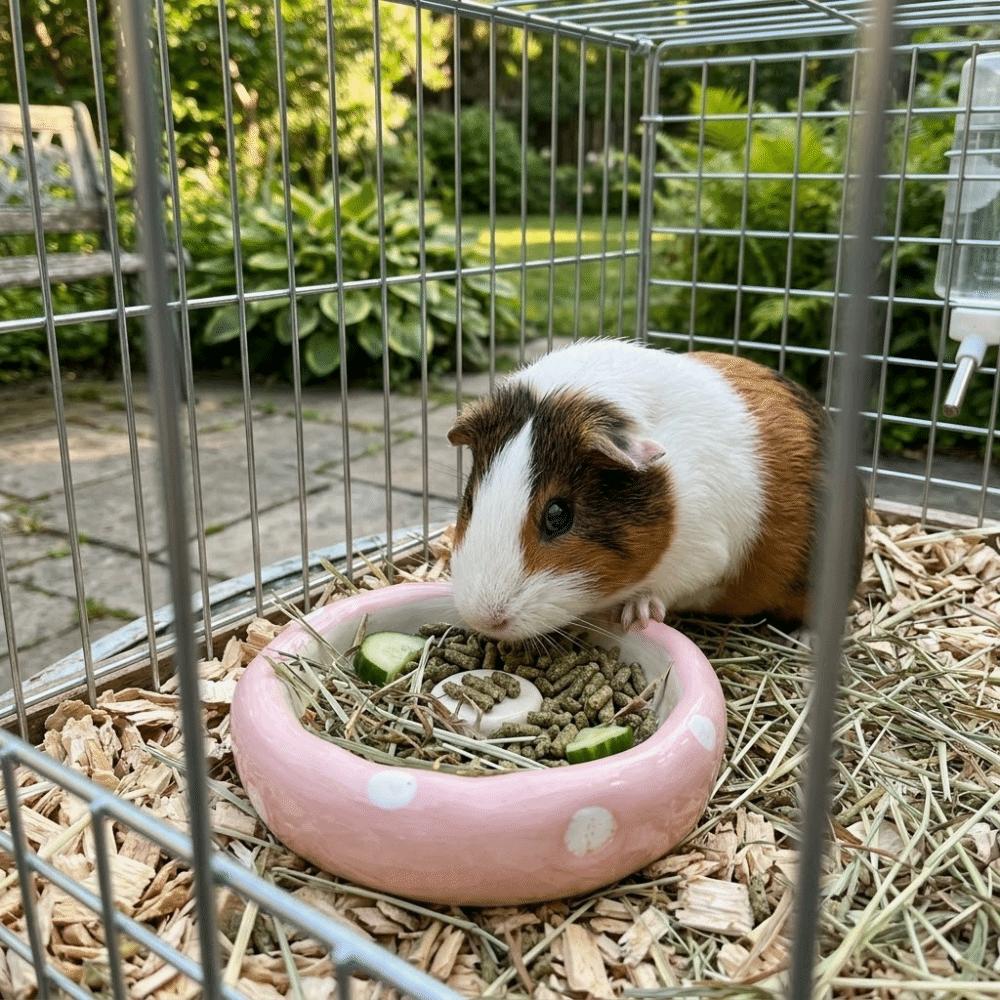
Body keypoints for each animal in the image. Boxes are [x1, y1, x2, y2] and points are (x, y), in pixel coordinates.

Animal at [446, 339, 866, 640]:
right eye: (470, 501)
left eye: (558, 515)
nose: (485, 618)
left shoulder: (705, 552)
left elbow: (671, 585)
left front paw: (637, 615)